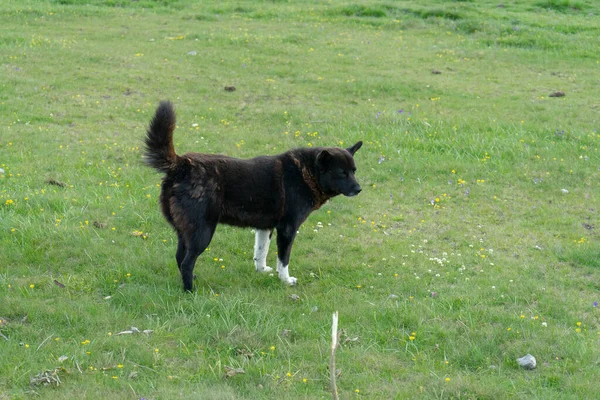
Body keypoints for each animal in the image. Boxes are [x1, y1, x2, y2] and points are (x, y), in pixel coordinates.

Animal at [144, 101, 366, 290]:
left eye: (354, 170)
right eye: (342, 173)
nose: (358, 189)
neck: (306, 172)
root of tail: (182, 165)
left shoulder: (264, 228)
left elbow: (261, 252)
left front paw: (262, 271)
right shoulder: (287, 229)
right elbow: (283, 260)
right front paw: (285, 280)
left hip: (186, 232)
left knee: (180, 258)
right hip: (202, 232)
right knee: (187, 262)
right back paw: (190, 291)